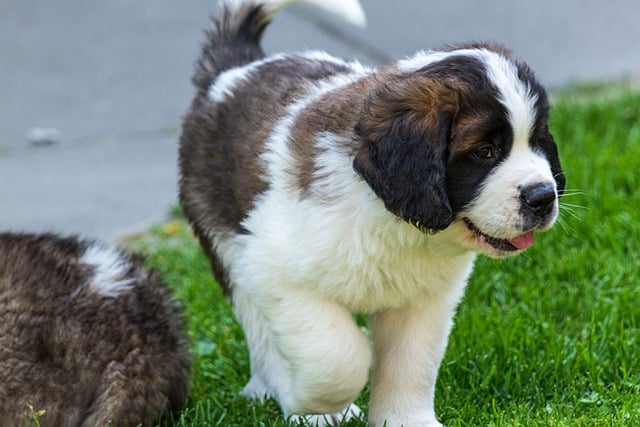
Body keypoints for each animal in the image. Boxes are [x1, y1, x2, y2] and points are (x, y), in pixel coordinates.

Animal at [179, 0, 564, 424]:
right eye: (485, 152)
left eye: (538, 141)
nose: (543, 197)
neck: (394, 220)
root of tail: (234, 71)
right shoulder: (272, 270)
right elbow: (337, 356)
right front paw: (315, 407)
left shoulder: (424, 299)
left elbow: (411, 364)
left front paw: (406, 419)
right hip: (226, 244)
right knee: (261, 332)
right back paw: (271, 389)